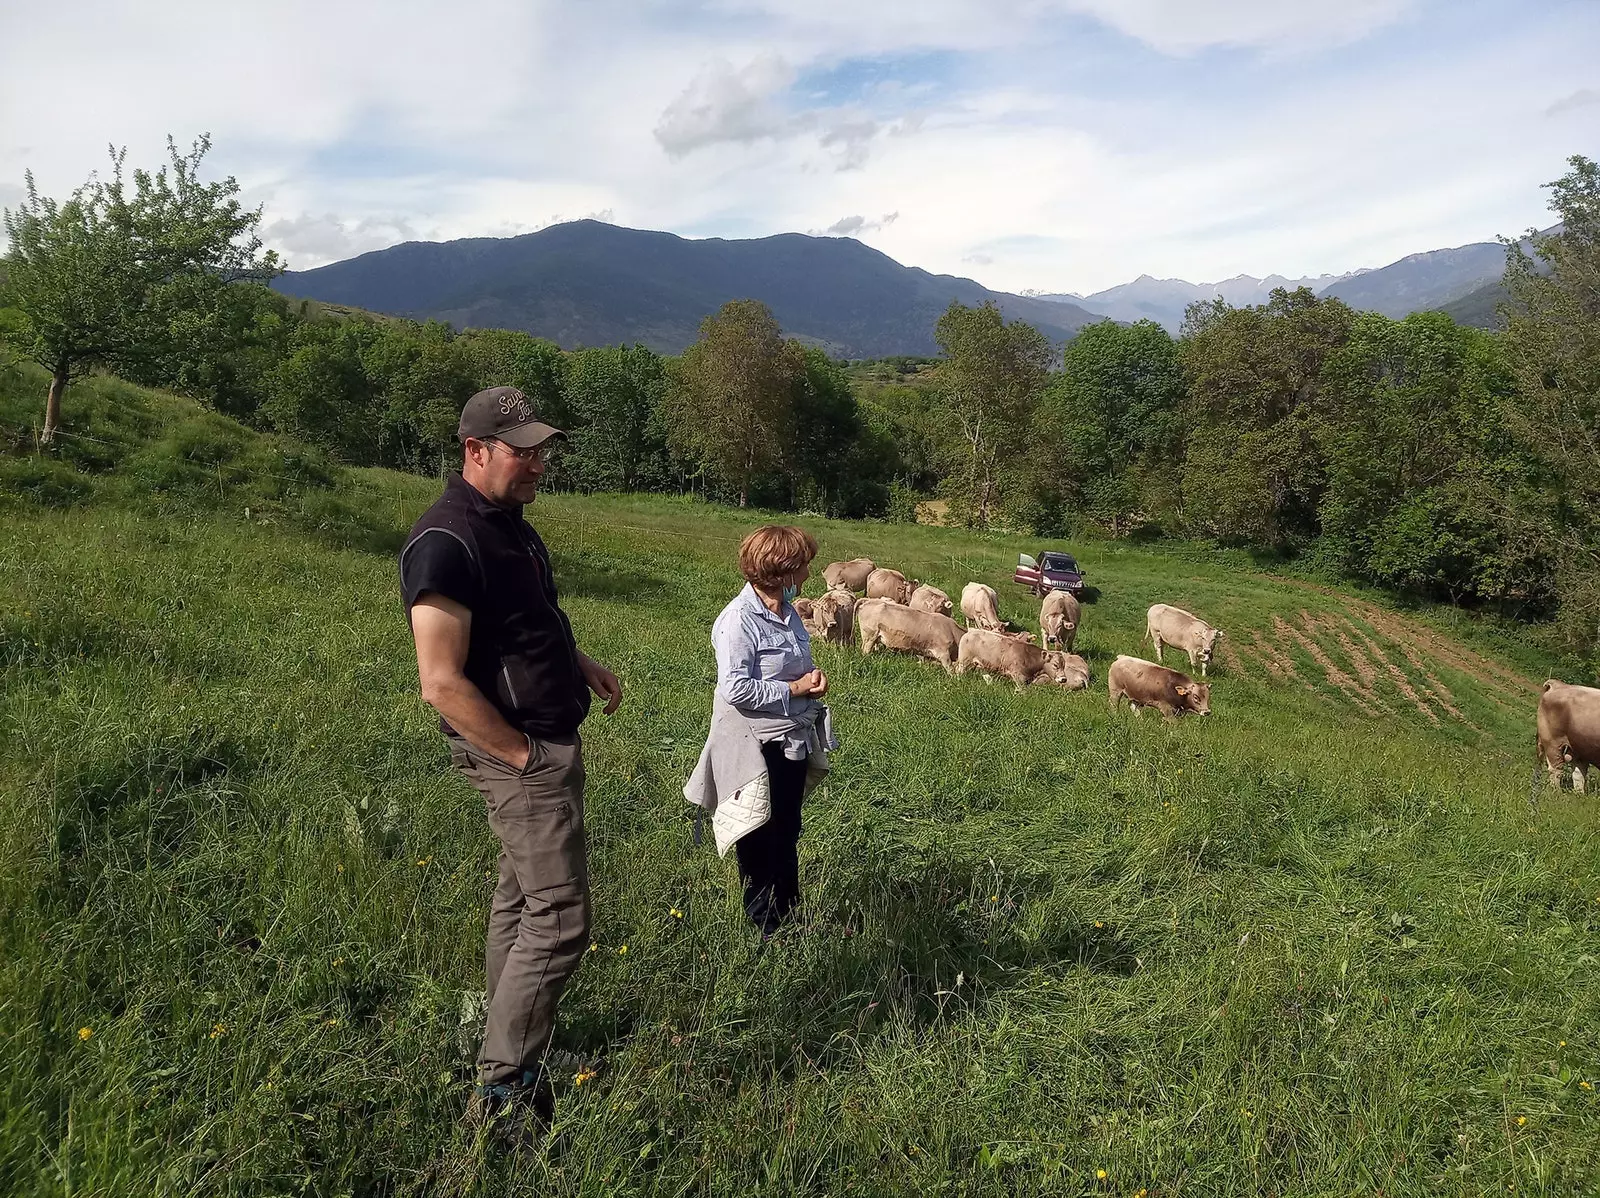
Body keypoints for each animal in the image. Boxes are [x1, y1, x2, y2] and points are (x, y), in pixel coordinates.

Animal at [953, 626, 1094, 690]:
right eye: (1055, 665)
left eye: (1063, 665)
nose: (1063, 679)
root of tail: (970, 631)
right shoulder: (1019, 677)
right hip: (964, 662)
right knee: (959, 672)